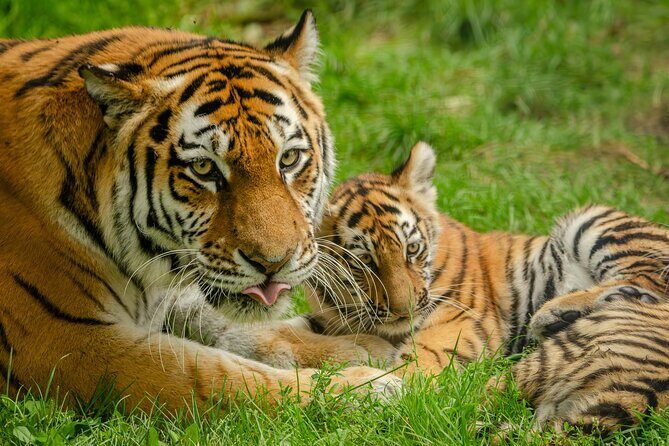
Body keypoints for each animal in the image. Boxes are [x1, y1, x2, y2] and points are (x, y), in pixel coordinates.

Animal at [0, 10, 401, 413]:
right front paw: (369, 390)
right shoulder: (70, 342)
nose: (273, 264)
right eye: (204, 168)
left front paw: (362, 348)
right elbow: (220, 376)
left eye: (288, 159)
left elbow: (230, 325)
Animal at [300, 141, 669, 383]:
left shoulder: (464, 316)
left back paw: (553, 313)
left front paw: (392, 383)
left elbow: (425, 354)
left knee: (652, 283)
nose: (405, 311)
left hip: (592, 221)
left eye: (413, 249)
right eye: (364, 262)